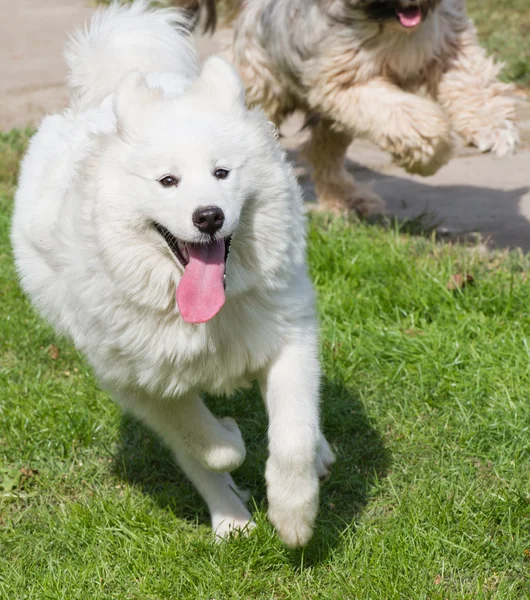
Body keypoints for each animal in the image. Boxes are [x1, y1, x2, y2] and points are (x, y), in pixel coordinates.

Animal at [11, 0, 334, 548]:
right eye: (168, 181)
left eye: (222, 173)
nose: (208, 217)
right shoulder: (139, 382)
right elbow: (205, 445)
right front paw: (230, 438)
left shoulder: (289, 338)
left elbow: (292, 434)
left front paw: (294, 515)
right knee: (195, 459)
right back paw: (231, 521)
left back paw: (319, 456)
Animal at [189, 0, 516, 216]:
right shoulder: (346, 79)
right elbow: (405, 115)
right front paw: (428, 155)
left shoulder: (451, 44)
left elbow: (472, 81)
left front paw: (493, 126)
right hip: (263, 80)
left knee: (323, 152)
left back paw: (347, 199)